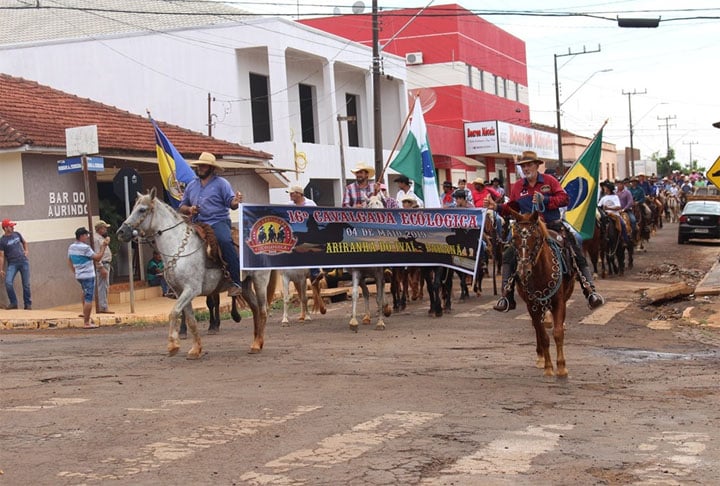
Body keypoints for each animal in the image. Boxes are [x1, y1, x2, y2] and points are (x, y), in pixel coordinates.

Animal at [116, 188, 278, 358]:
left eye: (142, 210)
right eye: (132, 208)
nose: (121, 232)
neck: (179, 248)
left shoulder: (191, 289)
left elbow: (174, 312)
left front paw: (173, 345)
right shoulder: (180, 291)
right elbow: (190, 320)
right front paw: (195, 349)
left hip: (260, 280)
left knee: (263, 310)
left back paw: (257, 344)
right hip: (245, 285)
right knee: (255, 309)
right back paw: (256, 342)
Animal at [510, 207, 576, 378]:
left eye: (535, 238)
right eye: (514, 238)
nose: (523, 271)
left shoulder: (559, 302)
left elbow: (558, 332)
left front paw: (562, 367)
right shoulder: (532, 305)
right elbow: (543, 336)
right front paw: (548, 366)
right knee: (537, 328)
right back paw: (540, 357)